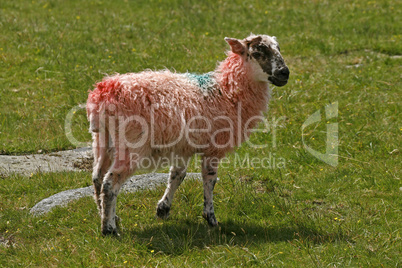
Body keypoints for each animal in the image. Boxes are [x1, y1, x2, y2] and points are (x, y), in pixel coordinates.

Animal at [87, 34, 288, 234]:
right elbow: (210, 179)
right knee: (110, 183)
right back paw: (109, 229)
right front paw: (211, 218)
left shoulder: (183, 147)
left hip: (102, 139)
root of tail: (103, 93)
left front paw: (163, 209)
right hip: (131, 144)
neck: (226, 91)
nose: (285, 73)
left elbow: (177, 175)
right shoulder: (213, 146)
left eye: (278, 48)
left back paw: (106, 215)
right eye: (258, 52)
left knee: (97, 177)